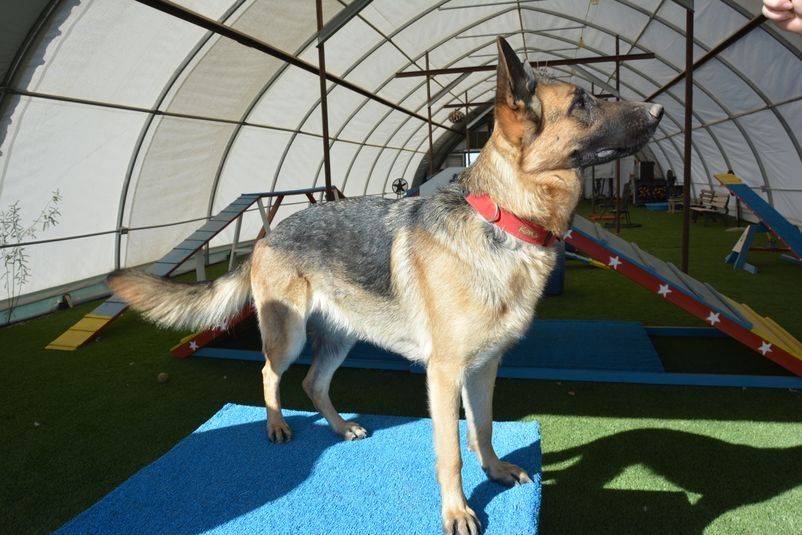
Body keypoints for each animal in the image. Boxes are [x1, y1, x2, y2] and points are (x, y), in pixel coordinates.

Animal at [108, 38, 664, 535]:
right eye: (581, 102)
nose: (659, 109)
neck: (503, 217)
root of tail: (269, 233)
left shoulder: (484, 368)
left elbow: (482, 427)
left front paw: (494, 470)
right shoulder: (444, 374)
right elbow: (449, 452)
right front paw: (457, 511)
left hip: (342, 337)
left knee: (313, 383)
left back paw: (339, 427)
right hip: (288, 335)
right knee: (270, 373)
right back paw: (276, 425)